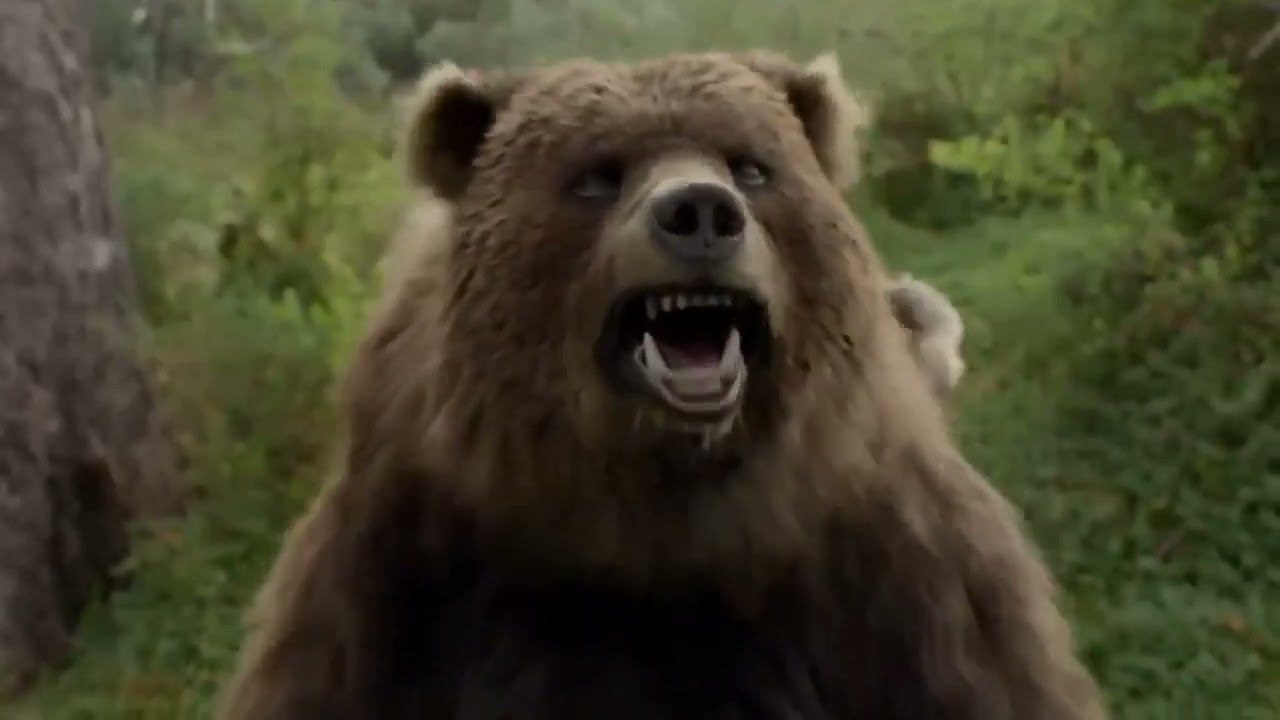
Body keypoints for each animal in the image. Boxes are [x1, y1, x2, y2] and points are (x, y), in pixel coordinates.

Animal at [215, 50, 1106, 720]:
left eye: (752, 166)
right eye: (595, 175)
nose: (700, 211)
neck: (659, 525)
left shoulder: (898, 572)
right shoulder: (403, 574)